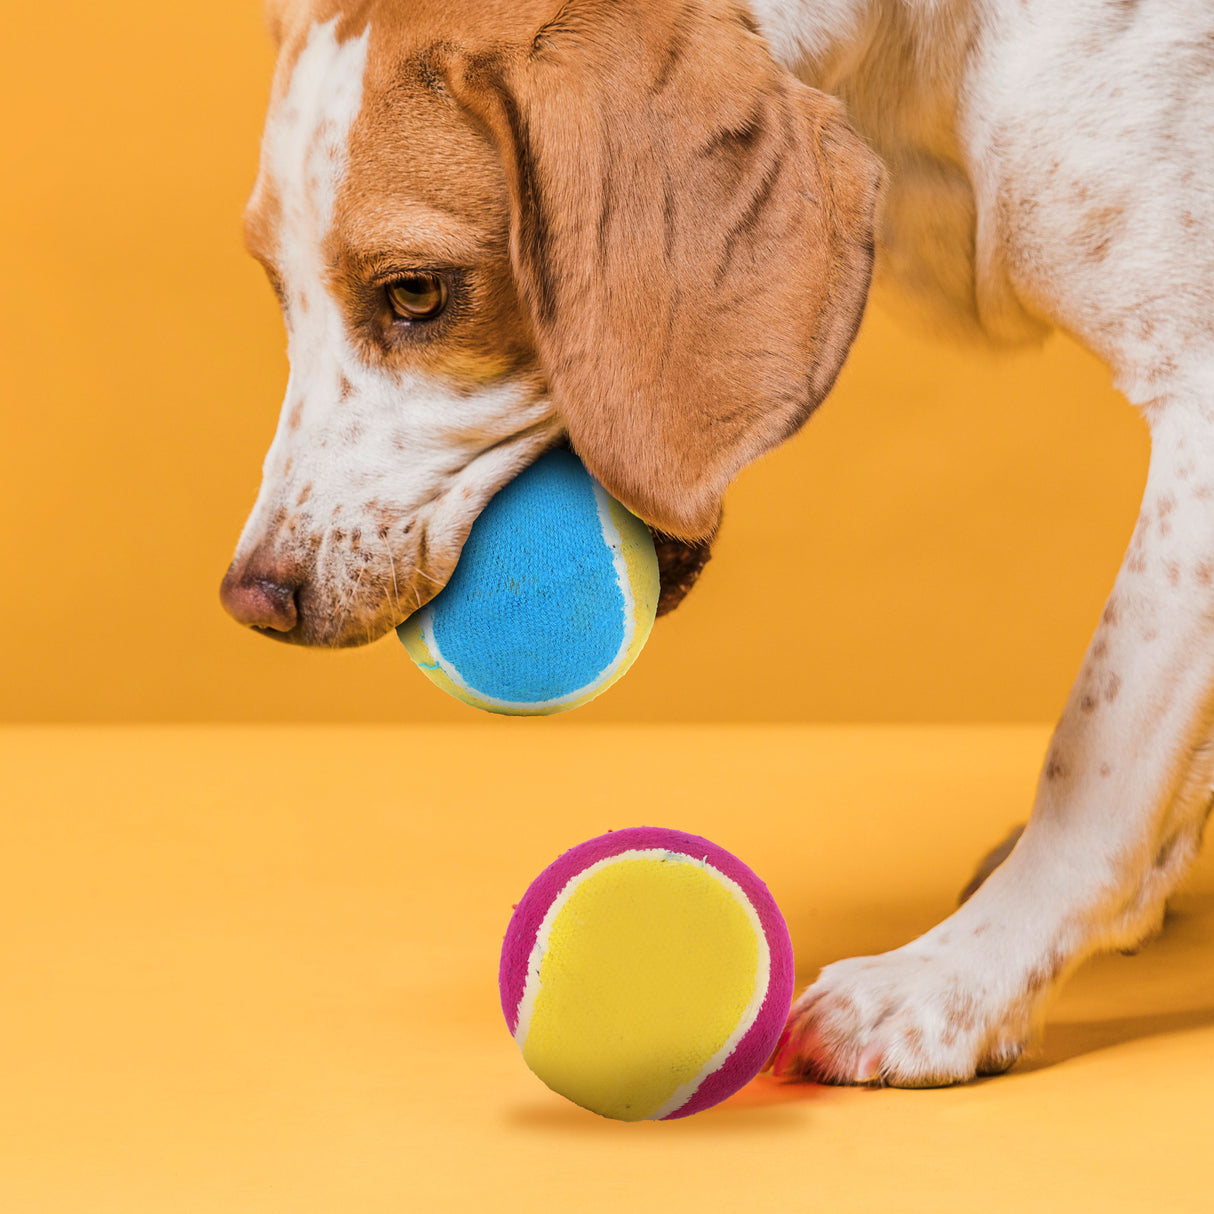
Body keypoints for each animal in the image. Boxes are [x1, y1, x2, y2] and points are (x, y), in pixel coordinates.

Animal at [223, 0, 1214, 1087]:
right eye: (279, 292)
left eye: (414, 294)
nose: (254, 596)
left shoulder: (1198, 407)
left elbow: (1098, 751)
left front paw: (953, 984)